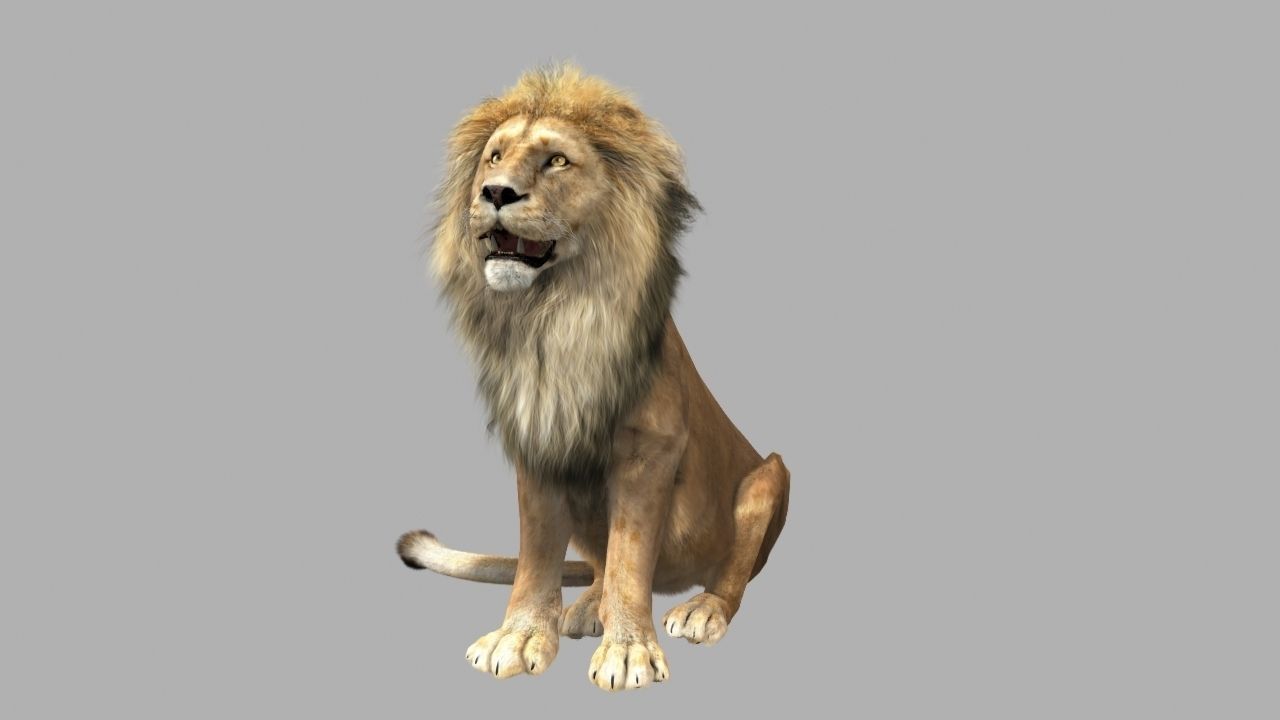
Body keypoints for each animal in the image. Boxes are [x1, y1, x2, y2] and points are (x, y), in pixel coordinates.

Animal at [397, 64, 790, 692]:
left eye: (557, 161)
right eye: (494, 157)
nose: (494, 192)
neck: (550, 321)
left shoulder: (651, 450)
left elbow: (630, 555)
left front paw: (628, 651)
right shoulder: (539, 444)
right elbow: (538, 557)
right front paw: (520, 635)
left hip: (769, 476)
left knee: (728, 571)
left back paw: (701, 609)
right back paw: (587, 606)